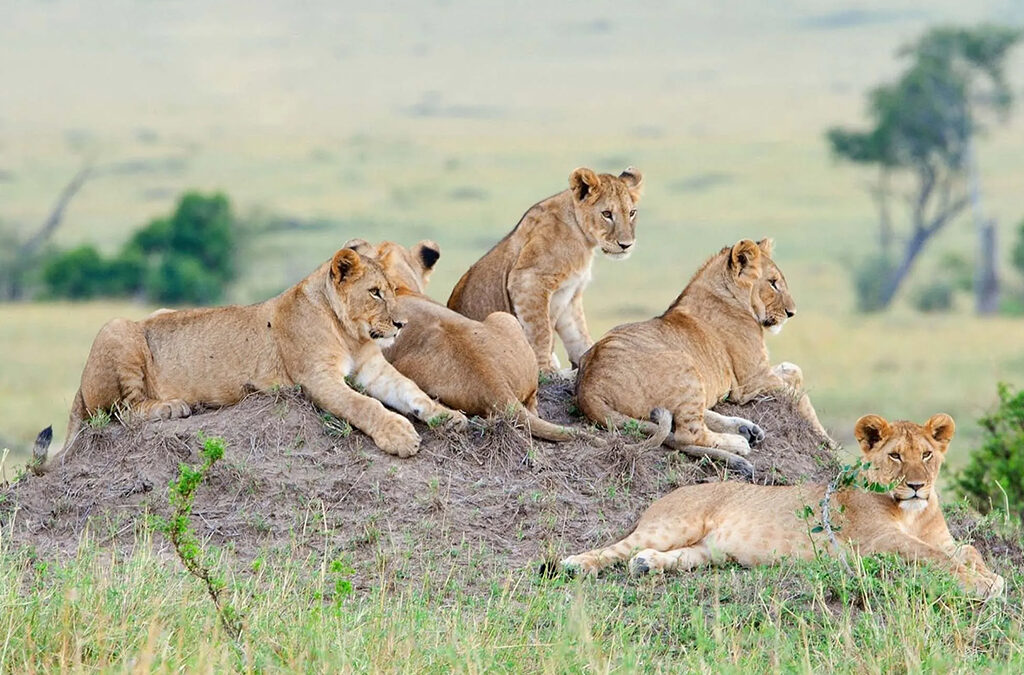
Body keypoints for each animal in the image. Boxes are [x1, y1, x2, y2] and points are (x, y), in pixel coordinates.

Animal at [32, 247, 468, 472]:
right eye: (375, 292)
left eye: (394, 290)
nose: (401, 323)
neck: (350, 334)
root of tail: (79, 388)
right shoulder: (317, 378)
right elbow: (363, 406)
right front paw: (400, 436)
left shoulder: (372, 370)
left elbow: (411, 390)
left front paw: (449, 417)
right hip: (116, 328)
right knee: (119, 412)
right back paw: (173, 407)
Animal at [447, 166, 643, 374]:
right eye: (606, 214)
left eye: (631, 212)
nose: (626, 245)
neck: (582, 239)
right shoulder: (528, 280)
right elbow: (541, 331)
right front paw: (544, 368)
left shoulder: (571, 293)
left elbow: (578, 334)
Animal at [560, 413, 1005, 599]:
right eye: (896, 456)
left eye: (927, 454)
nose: (916, 486)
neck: (911, 513)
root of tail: (671, 493)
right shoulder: (878, 542)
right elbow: (935, 557)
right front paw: (983, 585)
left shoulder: (940, 538)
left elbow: (967, 549)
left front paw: (990, 576)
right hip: (672, 524)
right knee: (616, 548)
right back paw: (574, 564)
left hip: (707, 551)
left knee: (665, 556)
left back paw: (647, 564)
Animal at [575, 238, 830, 476]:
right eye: (773, 283)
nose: (791, 313)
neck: (729, 295)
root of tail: (588, 388)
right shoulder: (752, 380)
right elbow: (799, 392)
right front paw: (827, 440)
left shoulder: (758, 374)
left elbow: (793, 369)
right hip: (685, 366)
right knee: (687, 434)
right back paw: (739, 442)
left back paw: (746, 429)